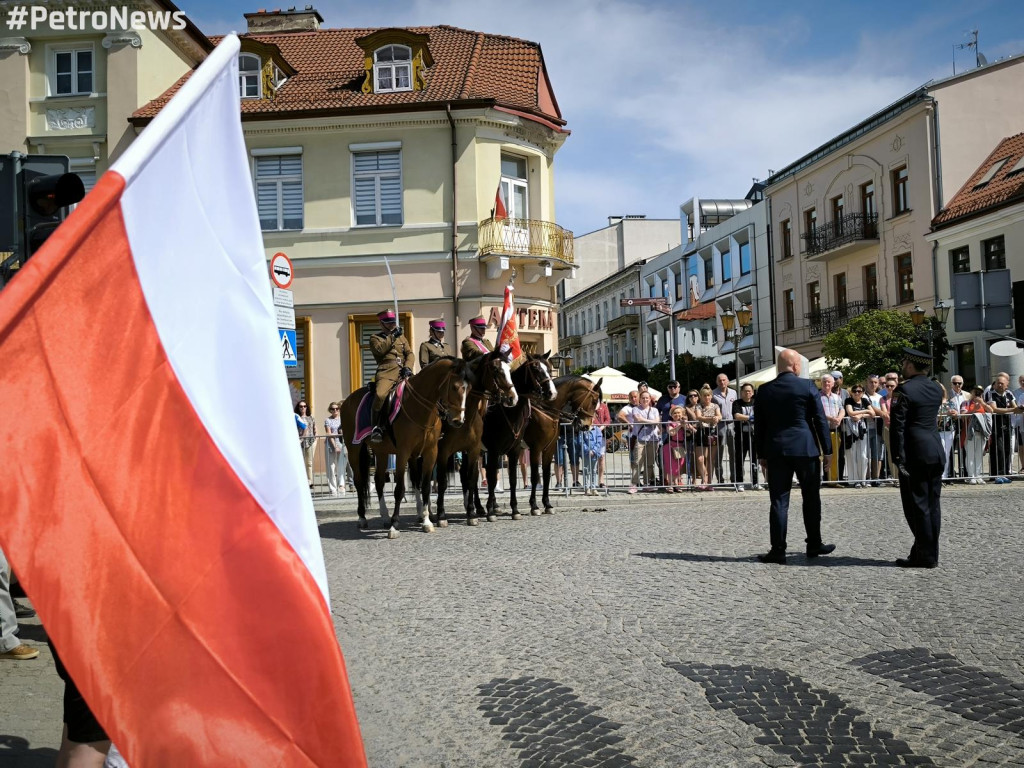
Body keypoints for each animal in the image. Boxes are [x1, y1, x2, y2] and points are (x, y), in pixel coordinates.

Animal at [342, 358, 473, 536]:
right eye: (454, 387)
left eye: (469, 388)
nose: (459, 420)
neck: (421, 408)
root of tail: (347, 400)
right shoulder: (403, 452)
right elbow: (399, 489)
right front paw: (395, 525)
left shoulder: (430, 451)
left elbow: (425, 486)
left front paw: (426, 521)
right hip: (353, 449)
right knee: (358, 481)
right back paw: (362, 518)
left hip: (381, 451)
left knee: (379, 481)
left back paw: (385, 517)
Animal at [432, 350, 520, 528]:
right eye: (496, 370)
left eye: (509, 369)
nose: (512, 398)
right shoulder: (444, 452)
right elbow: (443, 482)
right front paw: (441, 515)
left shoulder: (473, 450)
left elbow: (472, 479)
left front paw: (472, 513)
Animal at [481, 354, 561, 524]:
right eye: (536, 369)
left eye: (549, 368)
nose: (551, 392)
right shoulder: (531, 448)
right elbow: (534, 476)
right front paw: (534, 506)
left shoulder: (529, 449)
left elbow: (520, 478)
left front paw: (519, 509)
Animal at [524, 374, 602, 514]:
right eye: (594, 401)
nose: (586, 426)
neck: (545, 411)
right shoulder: (535, 449)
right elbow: (534, 476)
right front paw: (534, 506)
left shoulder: (549, 448)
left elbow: (546, 475)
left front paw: (547, 504)